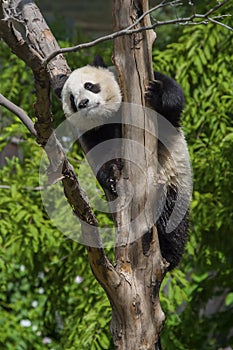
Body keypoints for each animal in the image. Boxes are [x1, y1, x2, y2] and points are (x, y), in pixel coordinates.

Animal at [61, 55, 191, 270]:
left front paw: (156, 93)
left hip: (174, 182)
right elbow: (102, 155)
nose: (83, 103)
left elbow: (173, 100)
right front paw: (112, 177)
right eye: (72, 99)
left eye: (89, 85)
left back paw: (168, 254)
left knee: (172, 219)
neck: (107, 116)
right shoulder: (92, 134)